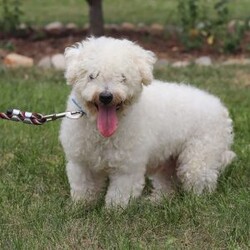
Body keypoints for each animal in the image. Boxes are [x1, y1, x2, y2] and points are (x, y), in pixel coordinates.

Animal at [59, 36, 235, 207]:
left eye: (123, 77)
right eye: (91, 76)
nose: (106, 96)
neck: (102, 133)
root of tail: (220, 108)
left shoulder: (127, 168)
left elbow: (119, 196)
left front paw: (113, 212)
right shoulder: (81, 164)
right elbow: (84, 189)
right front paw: (80, 207)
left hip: (199, 156)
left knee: (201, 180)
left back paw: (198, 201)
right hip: (167, 159)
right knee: (167, 184)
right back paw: (157, 200)